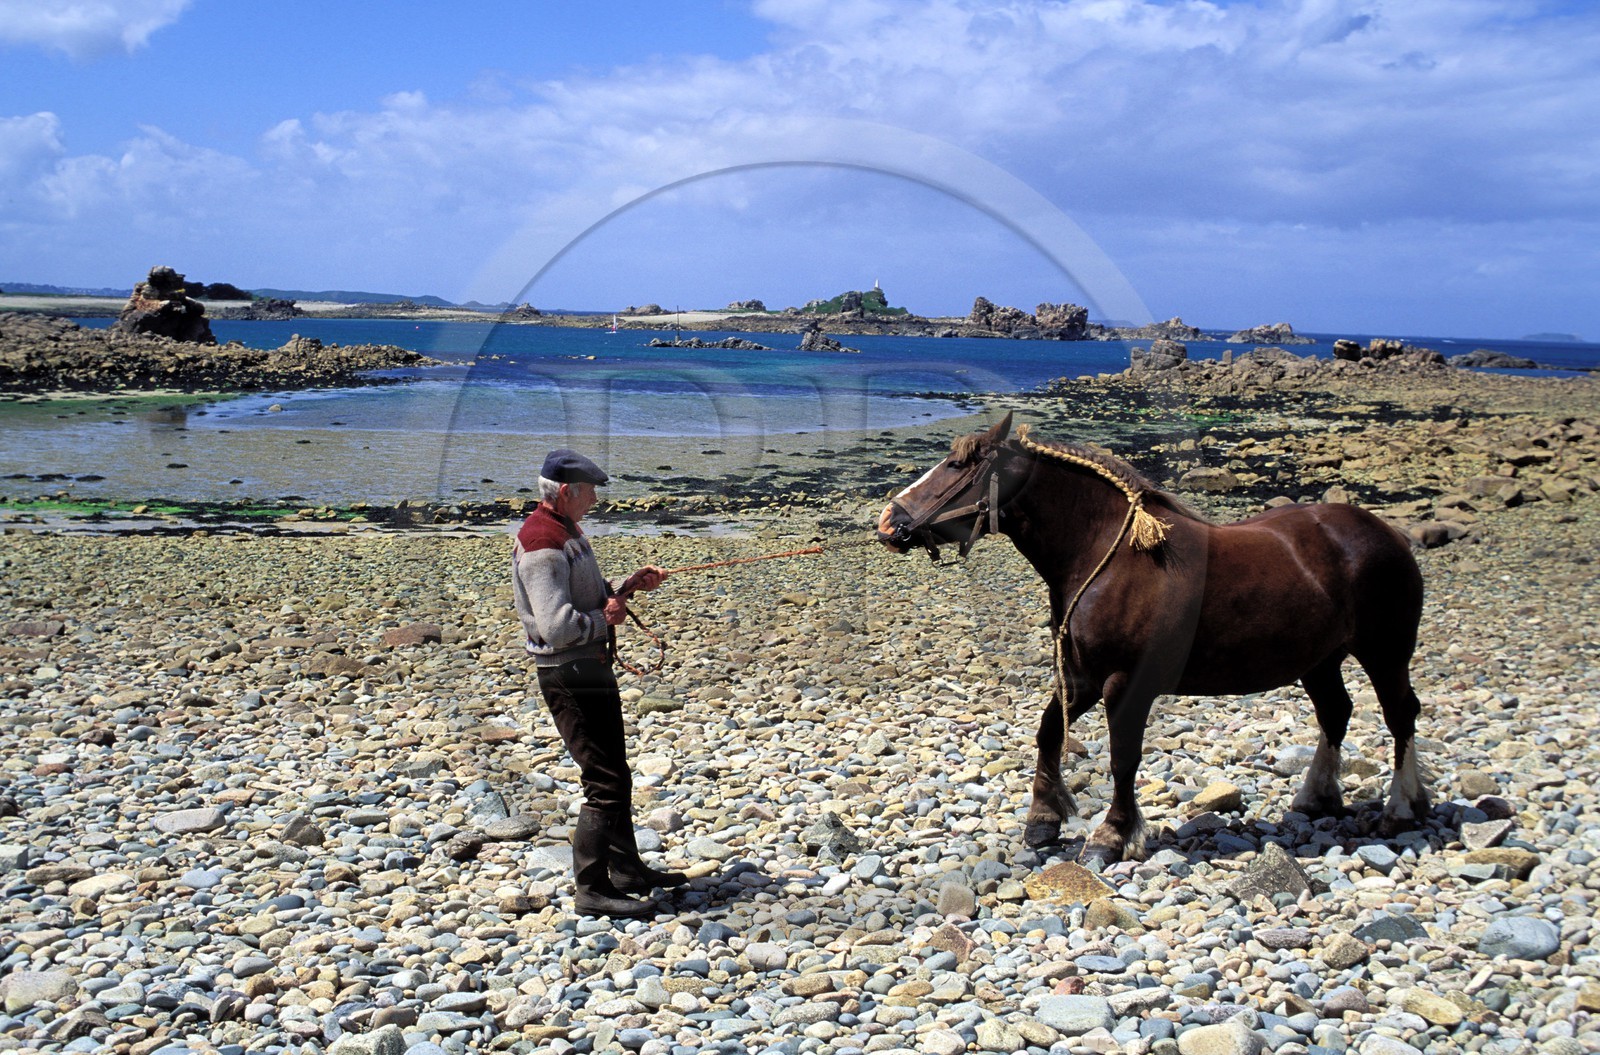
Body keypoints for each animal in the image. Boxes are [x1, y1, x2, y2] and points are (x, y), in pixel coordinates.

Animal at [876, 412, 1431, 863]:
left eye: (955, 466)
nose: (888, 522)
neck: (1108, 556)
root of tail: (1388, 533)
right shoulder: (1081, 677)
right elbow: (1049, 733)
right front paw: (1043, 820)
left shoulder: (1127, 683)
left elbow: (1123, 757)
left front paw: (1111, 836)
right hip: (1320, 660)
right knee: (1336, 712)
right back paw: (1317, 796)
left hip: (1385, 651)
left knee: (1400, 714)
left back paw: (1401, 807)